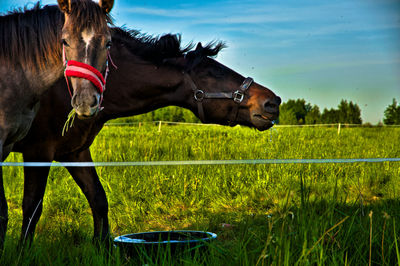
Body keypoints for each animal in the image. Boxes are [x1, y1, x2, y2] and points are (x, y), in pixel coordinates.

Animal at [13, 28, 282, 244]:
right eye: (214, 73)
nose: (272, 102)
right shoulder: (38, 151)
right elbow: (32, 209)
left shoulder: (74, 151)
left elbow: (98, 199)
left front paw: (103, 249)